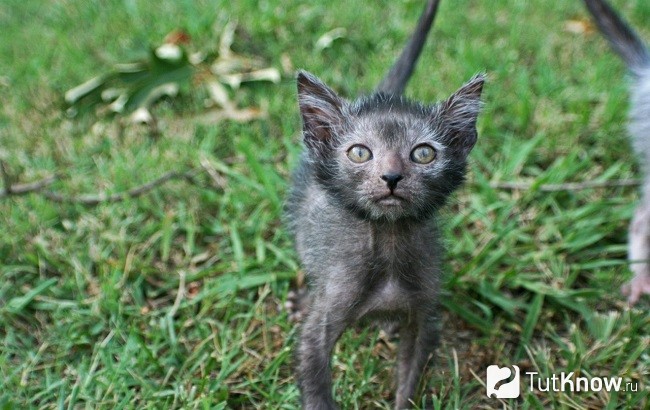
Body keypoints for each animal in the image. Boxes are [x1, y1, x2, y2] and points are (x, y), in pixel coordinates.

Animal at [282, 1, 480, 408]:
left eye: (423, 153)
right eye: (360, 152)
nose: (391, 177)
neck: (388, 244)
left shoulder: (423, 316)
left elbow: (410, 380)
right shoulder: (322, 323)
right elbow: (315, 379)